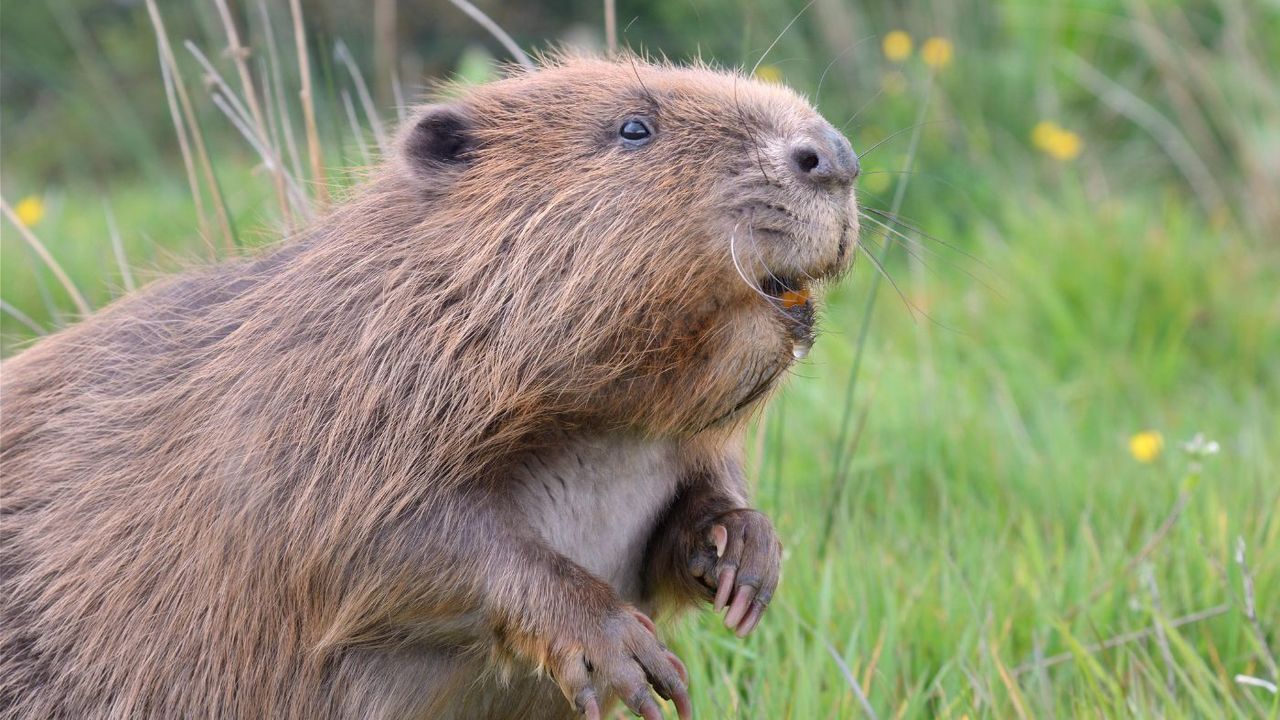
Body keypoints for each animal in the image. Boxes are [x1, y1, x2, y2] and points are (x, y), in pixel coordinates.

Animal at [2, 56, 860, 717]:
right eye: (633, 128)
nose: (833, 154)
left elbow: (690, 512)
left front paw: (745, 556)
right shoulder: (303, 415)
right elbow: (384, 544)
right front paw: (629, 656)